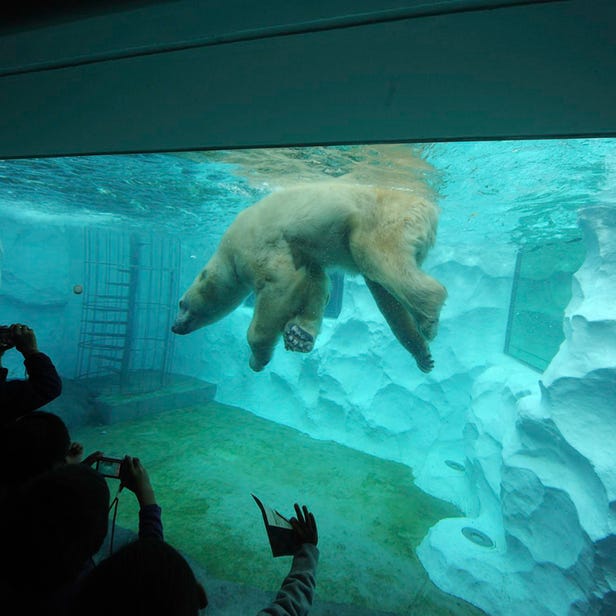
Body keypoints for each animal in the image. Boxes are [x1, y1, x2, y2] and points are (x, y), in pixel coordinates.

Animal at [171, 180, 446, 372]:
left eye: (181, 303)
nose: (175, 326)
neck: (228, 253)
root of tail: (430, 209)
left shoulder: (255, 245)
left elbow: (280, 282)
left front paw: (257, 359)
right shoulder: (304, 255)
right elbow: (314, 284)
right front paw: (300, 335)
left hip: (381, 219)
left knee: (376, 258)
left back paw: (429, 316)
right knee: (384, 294)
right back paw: (421, 353)